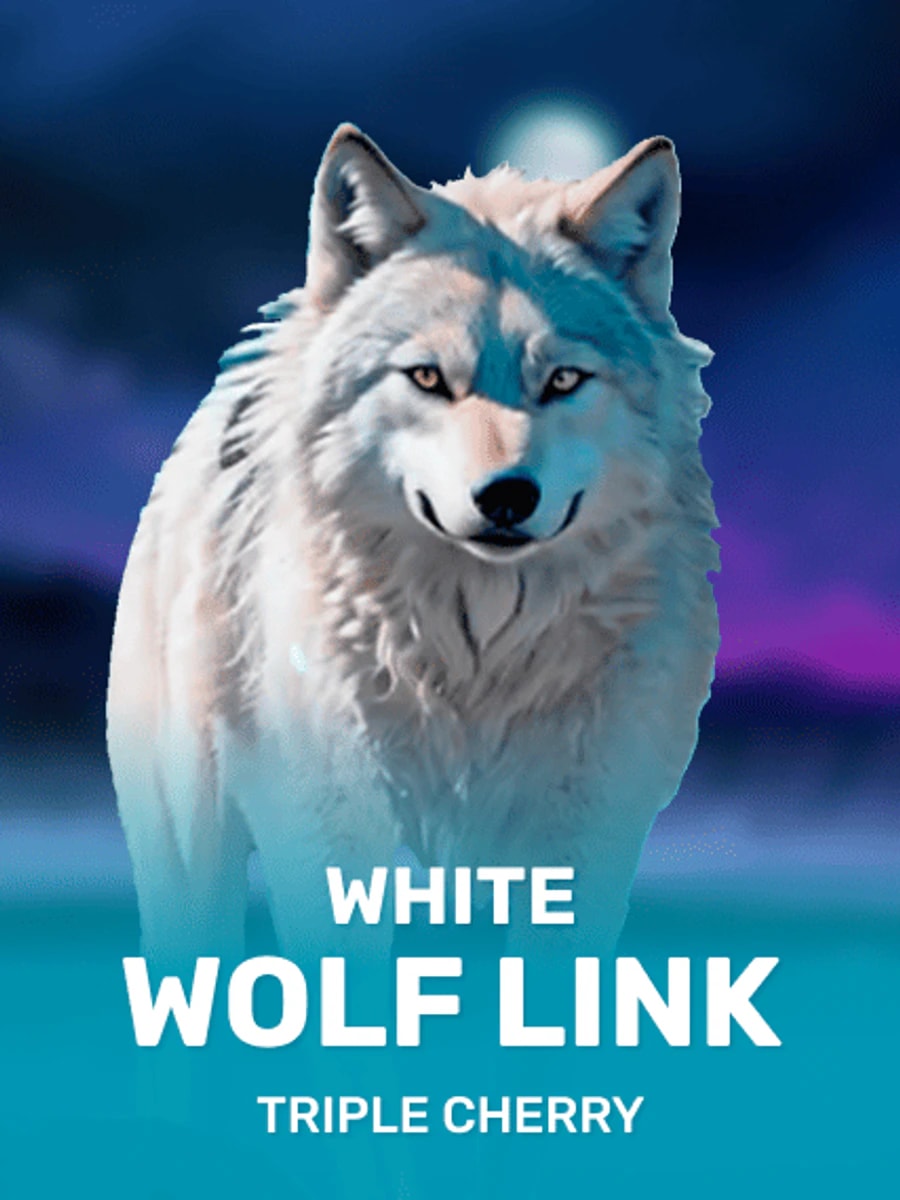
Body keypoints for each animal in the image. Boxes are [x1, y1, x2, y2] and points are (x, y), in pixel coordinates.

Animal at [107, 123, 718, 963]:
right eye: (427, 377)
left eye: (563, 380)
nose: (506, 496)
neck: (478, 654)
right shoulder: (333, 834)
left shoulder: (580, 842)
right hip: (189, 851)